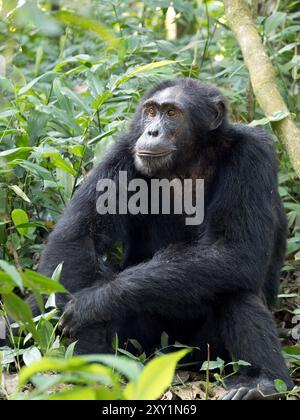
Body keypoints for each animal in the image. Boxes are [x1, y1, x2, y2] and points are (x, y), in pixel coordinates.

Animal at [35, 79, 292, 400]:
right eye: (150, 112)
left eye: (171, 113)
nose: (152, 131)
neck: (190, 160)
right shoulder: (121, 153)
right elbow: (78, 238)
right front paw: (85, 347)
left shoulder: (252, 156)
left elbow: (235, 251)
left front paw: (90, 305)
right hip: (145, 346)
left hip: (203, 354)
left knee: (235, 289)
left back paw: (263, 383)